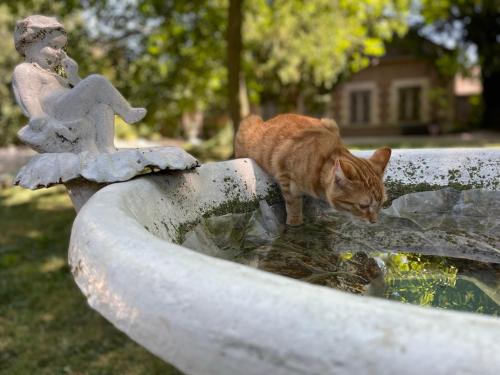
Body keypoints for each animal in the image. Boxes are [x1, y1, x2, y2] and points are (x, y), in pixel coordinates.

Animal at [234, 114, 390, 226]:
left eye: (381, 204)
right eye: (363, 206)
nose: (374, 222)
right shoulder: (285, 174)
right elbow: (293, 203)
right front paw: (295, 221)